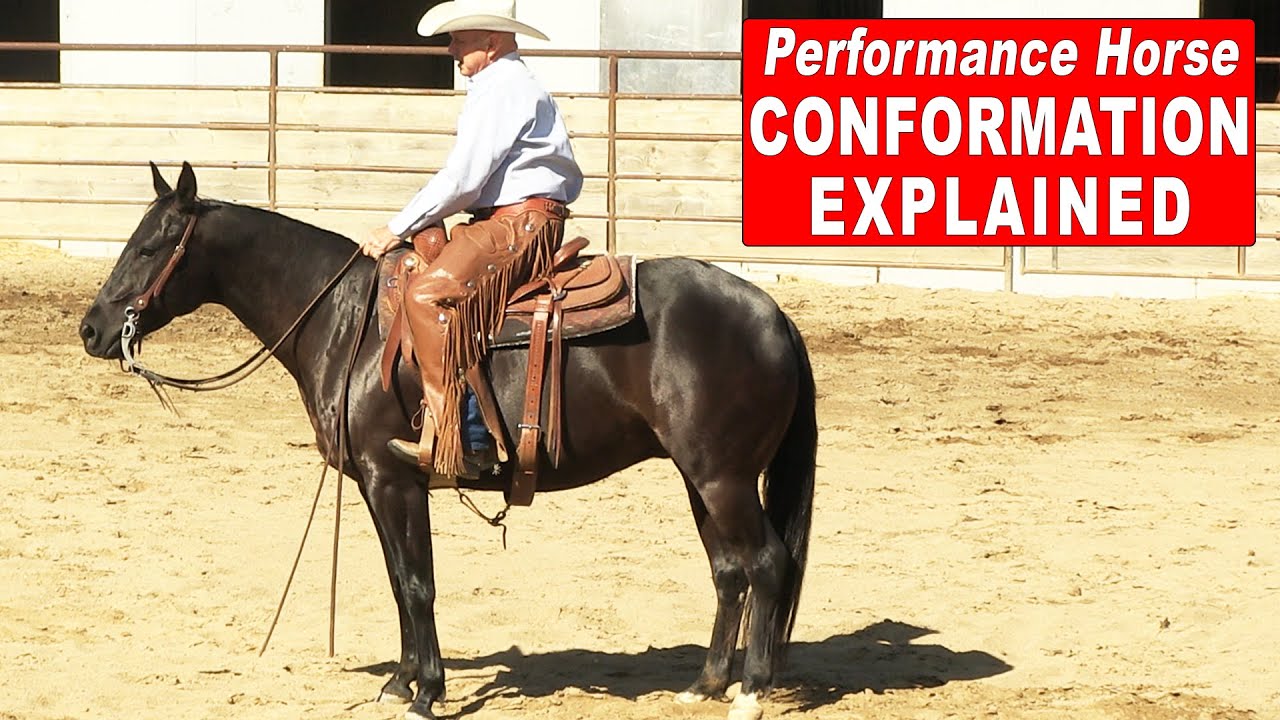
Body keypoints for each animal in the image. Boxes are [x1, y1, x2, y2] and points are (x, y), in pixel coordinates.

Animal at [78, 163, 816, 720]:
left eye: (150, 247)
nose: (91, 329)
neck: (348, 321)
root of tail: (773, 313)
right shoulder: (378, 483)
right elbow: (399, 580)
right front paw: (401, 680)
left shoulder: (393, 479)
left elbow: (417, 582)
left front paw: (425, 692)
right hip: (700, 479)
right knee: (728, 570)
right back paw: (705, 684)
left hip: (722, 479)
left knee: (766, 564)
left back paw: (749, 692)